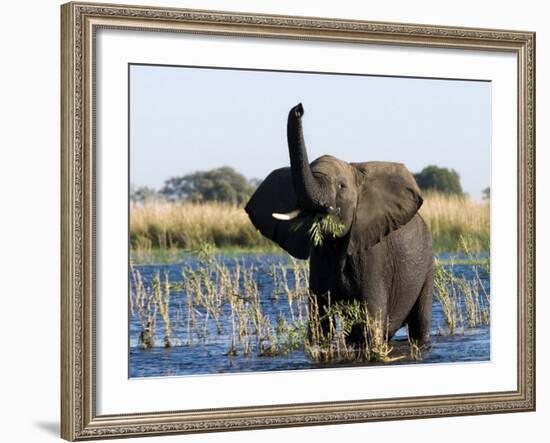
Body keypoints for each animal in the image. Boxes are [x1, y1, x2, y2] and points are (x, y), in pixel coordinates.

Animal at [246, 105, 436, 350]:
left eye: (341, 186)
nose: (299, 108)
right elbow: (319, 324)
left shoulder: (373, 256)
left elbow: (370, 322)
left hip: (427, 265)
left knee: (419, 323)